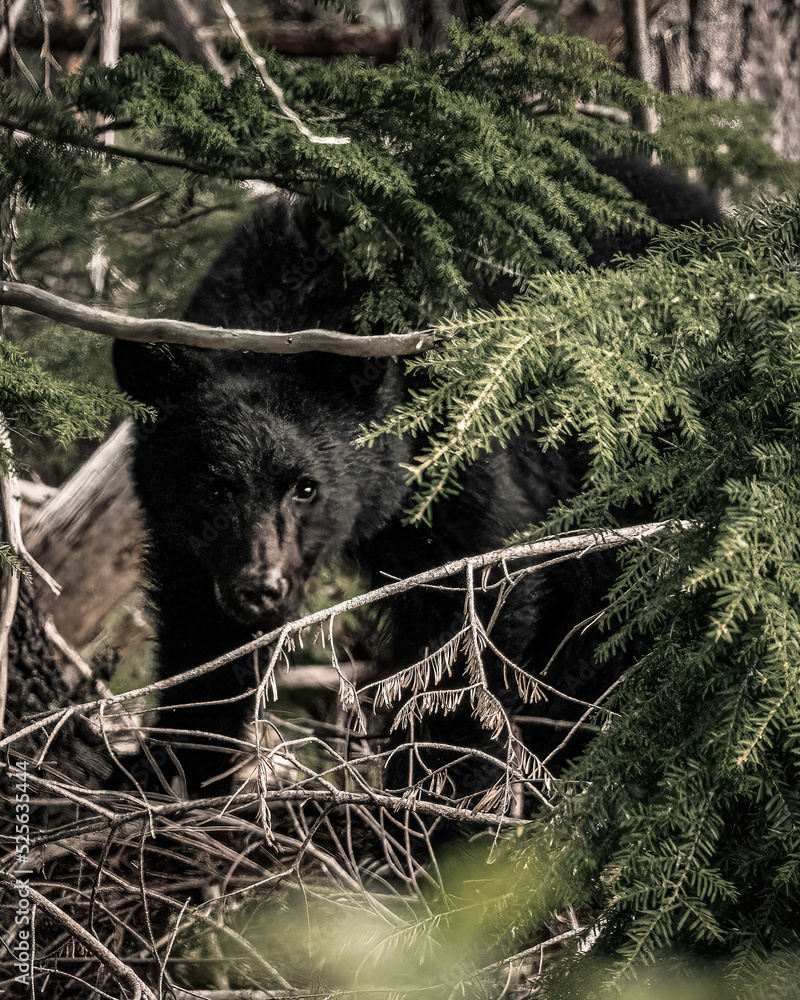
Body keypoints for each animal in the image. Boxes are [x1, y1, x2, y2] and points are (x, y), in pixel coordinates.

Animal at [113, 160, 720, 801]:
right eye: (213, 487)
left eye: (306, 486)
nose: (260, 587)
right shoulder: (190, 544)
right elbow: (200, 635)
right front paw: (172, 775)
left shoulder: (457, 442)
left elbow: (475, 604)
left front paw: (438, 797)